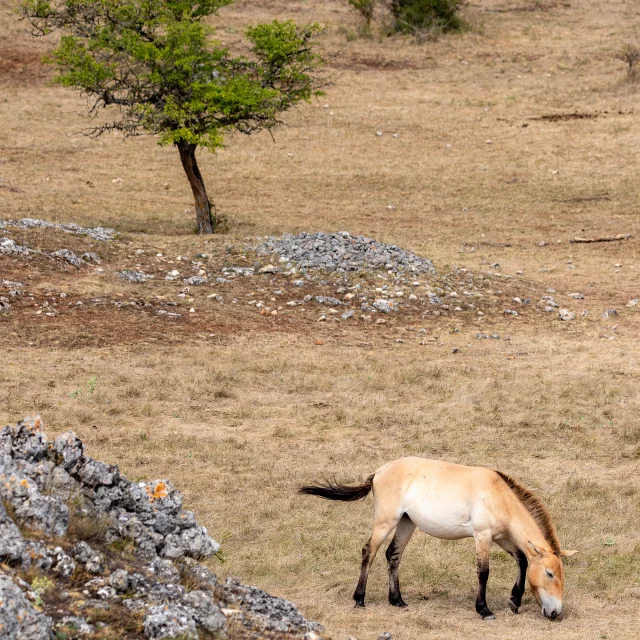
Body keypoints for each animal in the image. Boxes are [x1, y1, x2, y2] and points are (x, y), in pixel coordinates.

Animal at [299, 457, 577, 620]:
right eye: (550, 574)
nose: (555, 613)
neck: (498, 495)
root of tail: (378, 471)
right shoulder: (483, 536)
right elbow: (484, 572)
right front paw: (484, 609)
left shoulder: (502, 537)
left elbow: (522, 560)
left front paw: (514, 601)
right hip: (386, 521)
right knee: (370, 551)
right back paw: (359, 599)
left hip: (406, 522)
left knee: (393, 554)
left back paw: (397, 600)